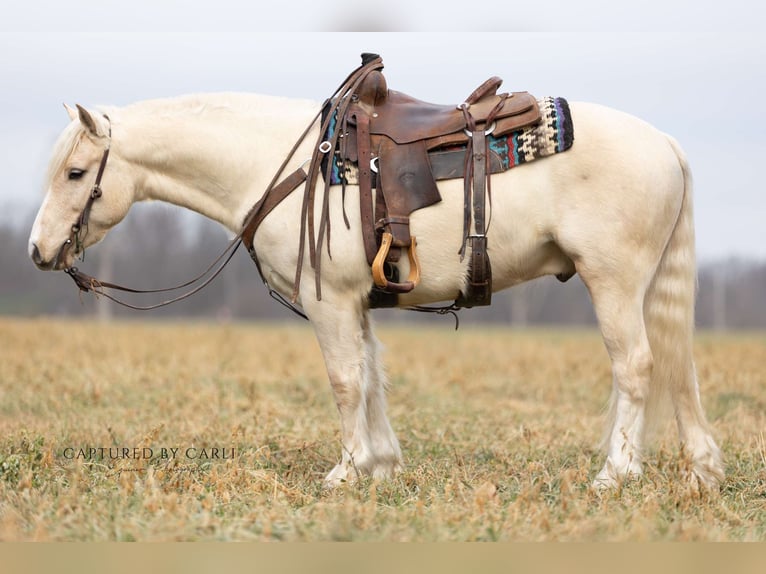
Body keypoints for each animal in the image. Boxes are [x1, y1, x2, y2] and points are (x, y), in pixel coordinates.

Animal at [28, 85, 728, 490]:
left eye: (76, 172)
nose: (37, 250)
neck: (278, 166)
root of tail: (666, 143)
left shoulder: (329, 302)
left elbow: (345, 380)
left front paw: (348, 470)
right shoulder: (355, 301)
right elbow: (371, 377)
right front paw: (384, 464)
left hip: (614, 282)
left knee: (636, 366)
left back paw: (616, 473)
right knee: (677, 366)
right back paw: (700, 468)